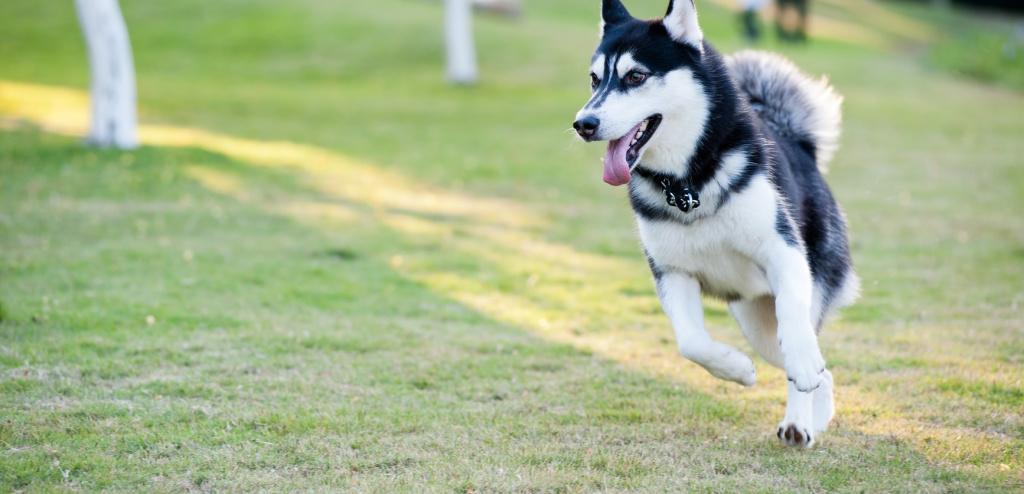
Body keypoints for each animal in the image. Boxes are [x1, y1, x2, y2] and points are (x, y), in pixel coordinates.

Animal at [577, 0, 856, 446]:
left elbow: (796, 326)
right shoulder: (672, 272)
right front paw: (736, 369)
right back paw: (817, 413)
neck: (688, 184)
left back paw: (801, 420)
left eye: (635, 76)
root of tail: (799, 145)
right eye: (594, 80)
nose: (582, 124)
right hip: (755, 323)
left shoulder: (783, 250)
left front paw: (798, 369)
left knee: (808, 353)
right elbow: (691, 343)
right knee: (820, 370)